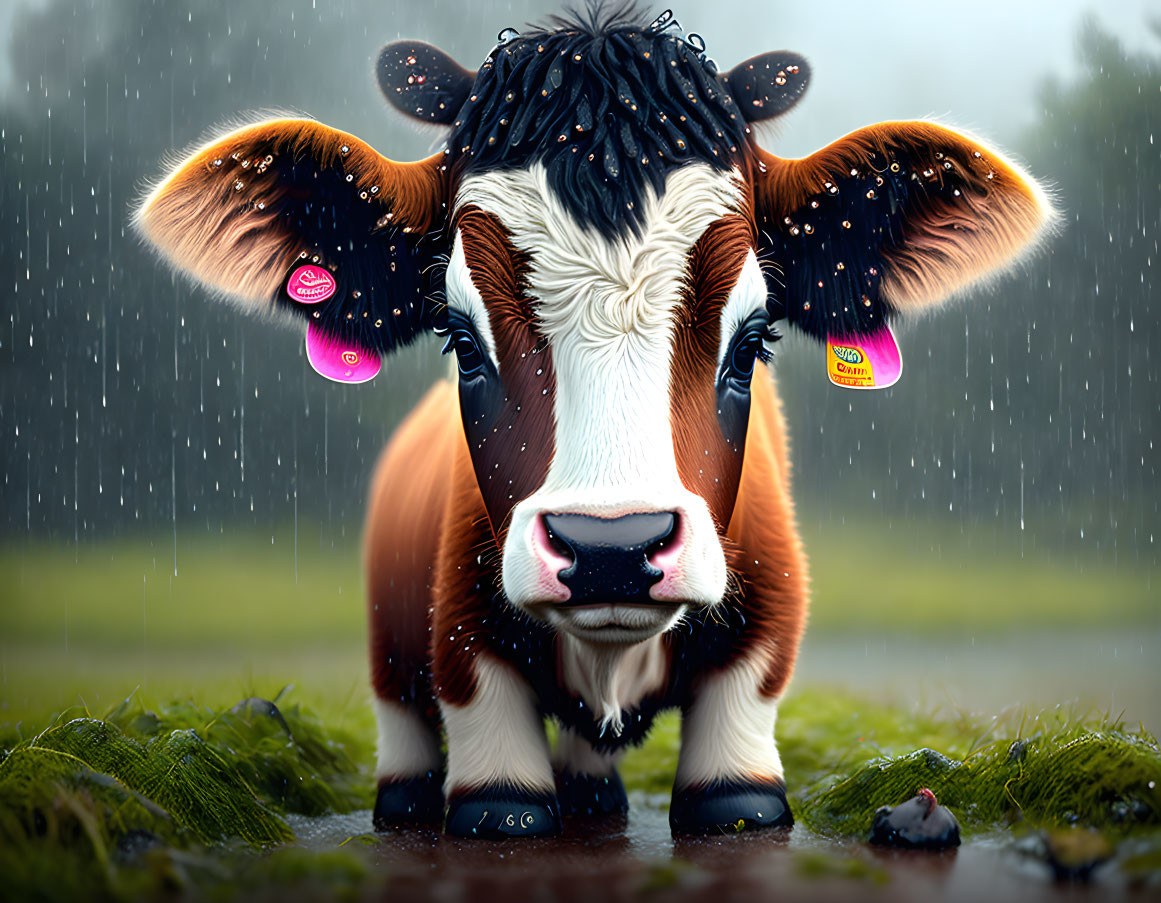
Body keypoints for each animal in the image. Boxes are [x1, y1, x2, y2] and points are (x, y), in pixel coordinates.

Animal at [133, 8, 1054, 835]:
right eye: (460, 339)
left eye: (753, 338)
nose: (611, 546)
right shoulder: (460, 655)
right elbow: (498, 798)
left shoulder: (760, 664)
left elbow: (737, 796)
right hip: (388, 651)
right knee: (403, 731)